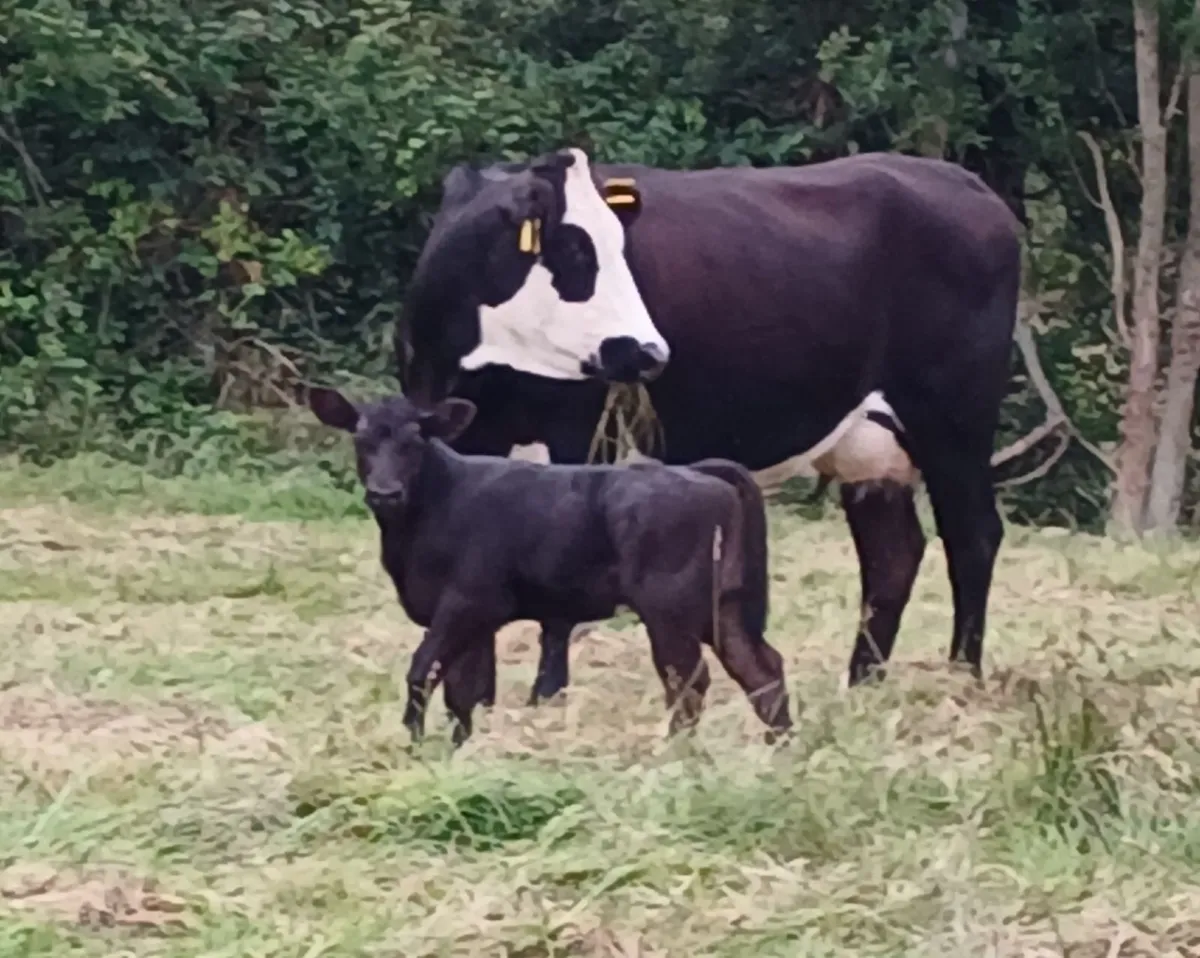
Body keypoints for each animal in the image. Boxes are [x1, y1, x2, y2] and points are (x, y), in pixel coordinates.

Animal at [305, 386, 793, 745]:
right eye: (361, 440)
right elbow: (467, 693)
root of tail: (699, 471)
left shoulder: (467, 602)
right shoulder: (477, 621)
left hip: (669, 610)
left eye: (414, 441)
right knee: (761, 670)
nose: (385, 492)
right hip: (724, 606)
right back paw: (780, 749)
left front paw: (415, 747)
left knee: (689, 681)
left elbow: (422, 671)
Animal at [394, 146, 1022, 696]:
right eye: (574, 250)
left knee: (971, 536)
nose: (649, 351)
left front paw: (547, 695)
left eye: (620, 247)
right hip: (871, 443)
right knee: (892, 553)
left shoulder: (582, 440)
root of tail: (963, 182)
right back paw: (862, 686)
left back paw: (962, 676)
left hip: (953, 421)